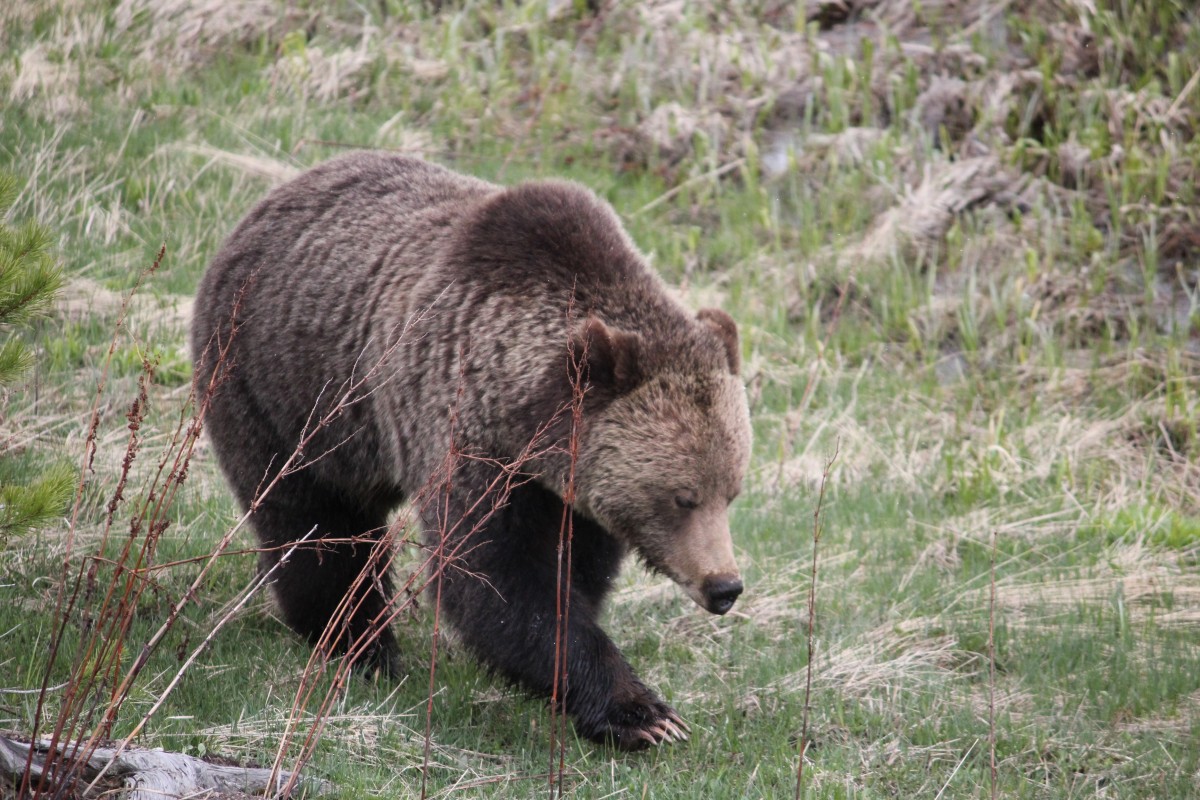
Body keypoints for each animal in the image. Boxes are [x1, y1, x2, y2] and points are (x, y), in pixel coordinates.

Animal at [190, 151, 744, 753]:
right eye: (683, 497)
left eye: (731, 494)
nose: (725, 587)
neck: (526, 417)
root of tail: (271, 200)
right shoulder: (465, 430)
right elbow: (492, 576)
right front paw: (644, 714)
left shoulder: (567, 488)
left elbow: (571, 568)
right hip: (279, 391)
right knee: (314, 526)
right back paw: (360, 644)